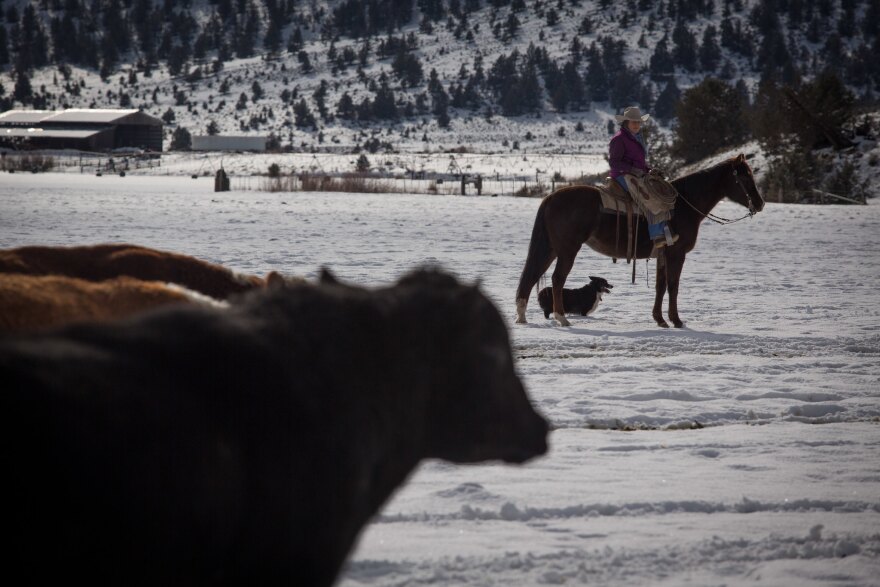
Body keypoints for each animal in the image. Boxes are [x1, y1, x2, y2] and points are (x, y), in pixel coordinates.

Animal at [516, 155, 764, 330]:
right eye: (743, 177)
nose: (760, 203)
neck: (683, 206)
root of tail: (551, 197)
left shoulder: (662, 254)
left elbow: (660, 286)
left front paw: (660, 320)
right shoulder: (677, 254)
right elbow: (673, 286)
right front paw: (676, 320)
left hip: (550, 248)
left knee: (532, 275)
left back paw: (522, 316)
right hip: (568, 249)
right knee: (557, 279)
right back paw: (562, 318)